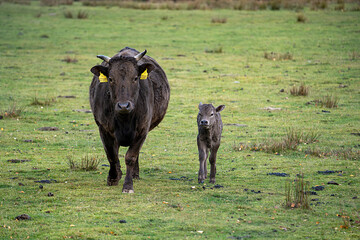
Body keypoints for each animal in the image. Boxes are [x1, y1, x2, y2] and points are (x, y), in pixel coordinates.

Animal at [89, 47, 169, 193]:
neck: (124, 119)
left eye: (135, 78)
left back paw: (134, 174)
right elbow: (112, 155)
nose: (123, 105)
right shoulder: (104, 129)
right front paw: (113, 178)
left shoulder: (142, 130)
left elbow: (131, 157)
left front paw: (128, 185)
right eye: (110, 78)